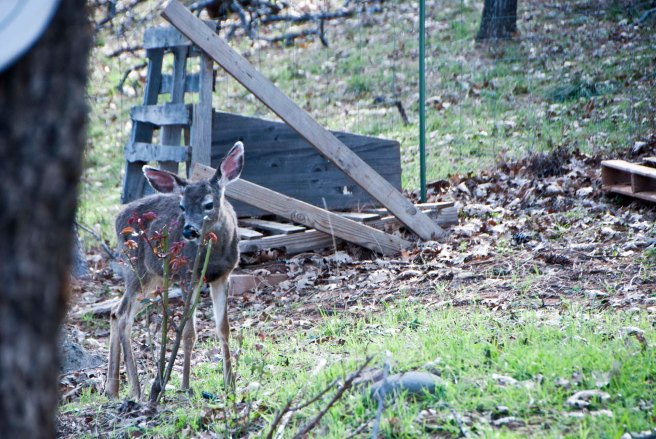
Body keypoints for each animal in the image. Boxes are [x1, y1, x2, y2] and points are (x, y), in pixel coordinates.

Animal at [105, 141, 244, 400]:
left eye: (208, 204)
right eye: (182, 206)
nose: (189, 230)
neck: (214, 257)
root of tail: (117, 218)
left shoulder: (223, 276)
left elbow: (223, 329)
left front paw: (230, 385)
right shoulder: (188, 275)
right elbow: (188, 332)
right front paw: (186, 385)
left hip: (154, 281)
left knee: (114, 311)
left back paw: (112, 388)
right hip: (137, 269)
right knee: (123, 316)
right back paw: (137, 390)